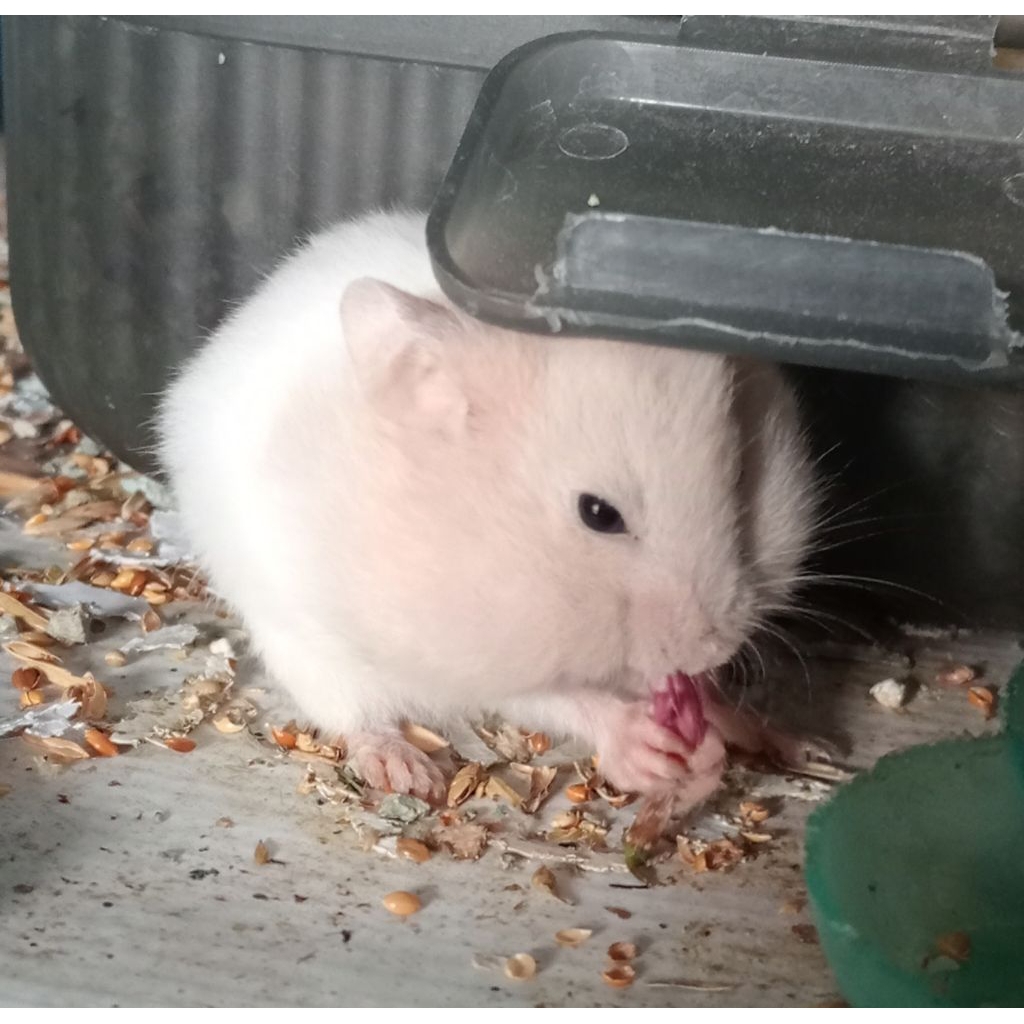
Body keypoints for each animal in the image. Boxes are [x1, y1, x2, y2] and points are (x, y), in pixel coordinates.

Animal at [158, 210, 819, 809]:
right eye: (599, 513)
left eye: (742, 474)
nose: (715, 649)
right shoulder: (467, 657)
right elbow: (557, 697)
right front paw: (647, 749)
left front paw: (708, 741)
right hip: (303, 644)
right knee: (354, 714)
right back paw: (407, 773)